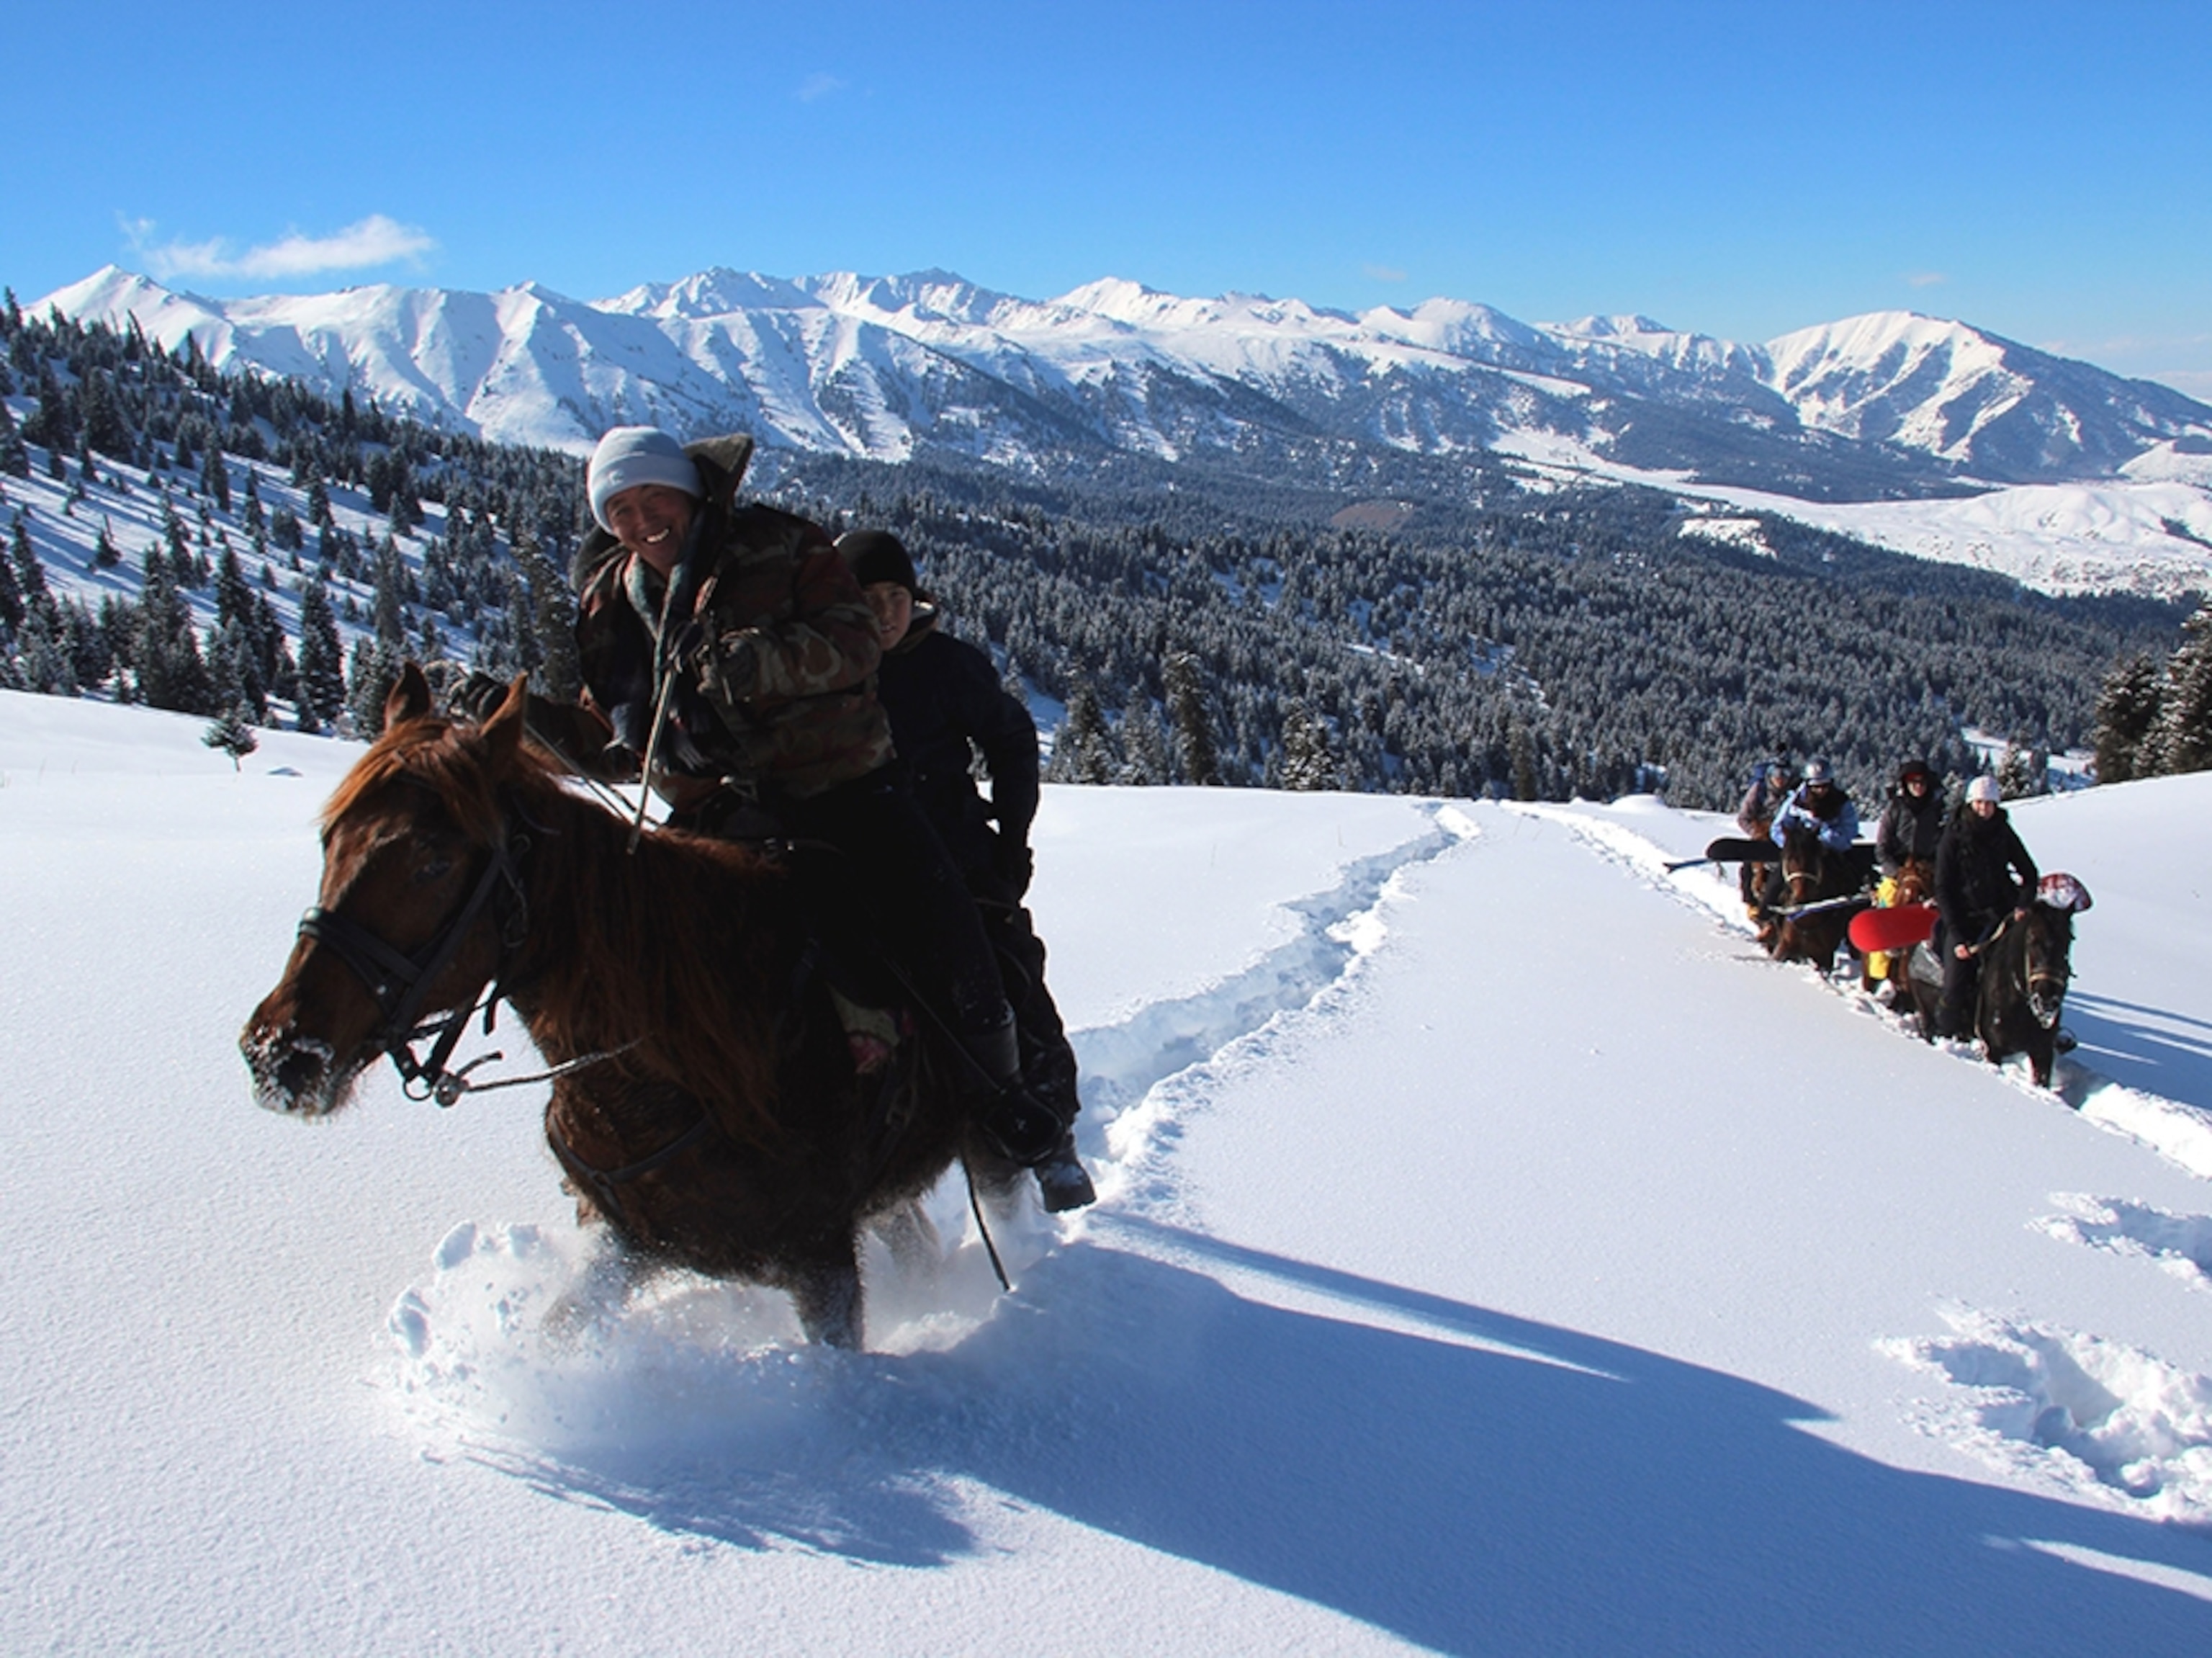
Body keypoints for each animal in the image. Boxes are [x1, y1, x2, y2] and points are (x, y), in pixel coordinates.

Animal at [239, 667, 1020, 1348]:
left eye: (433, 862)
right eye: (328, 841)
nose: (280, 1051)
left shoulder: (819, 1259)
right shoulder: (632, 1245)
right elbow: (559, 1330)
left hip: (991, 1143)